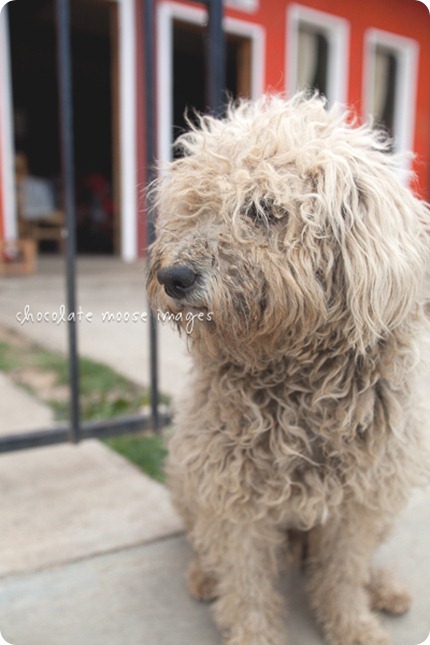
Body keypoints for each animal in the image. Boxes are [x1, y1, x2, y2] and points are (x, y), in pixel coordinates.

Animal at [147, 92, 430, 644]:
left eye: (263, 209)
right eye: (194, 206)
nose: (174, 276)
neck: (297, 380)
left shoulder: (358, 504)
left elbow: (342, 574)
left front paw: (354, 625)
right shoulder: (232, 496)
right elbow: (246, 585)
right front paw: (253, 633)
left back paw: (382, 586)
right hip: (188, 481)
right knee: (205, 544)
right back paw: (204, 576)